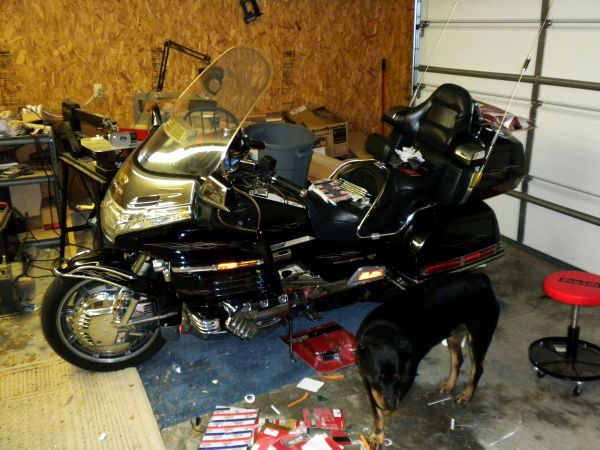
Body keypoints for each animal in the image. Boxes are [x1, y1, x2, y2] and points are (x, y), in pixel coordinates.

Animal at [356, 272, 500, 449]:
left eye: (399, 379)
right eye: (376, 379)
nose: (392, 405)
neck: (385, 330)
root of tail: (481, 279)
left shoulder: (408, 376)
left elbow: (385, 403)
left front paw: (384, 418)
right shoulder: (366, 377)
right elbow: (376, 411)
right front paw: (377, 434)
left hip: (479, 337)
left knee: (477, 369)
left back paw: (467, 394)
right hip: (454, 336)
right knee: (457, 360)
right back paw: (449, 384)